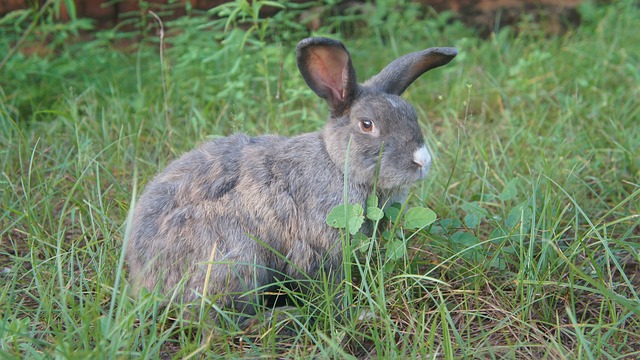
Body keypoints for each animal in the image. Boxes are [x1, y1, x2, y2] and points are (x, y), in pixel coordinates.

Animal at [125, 37, 456, 324]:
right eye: (366, 124)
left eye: (412, 115)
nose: (422, 160)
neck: (336, 163)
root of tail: (144, 277)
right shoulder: (320, 250)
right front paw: (356, 314)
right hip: (236, 258)